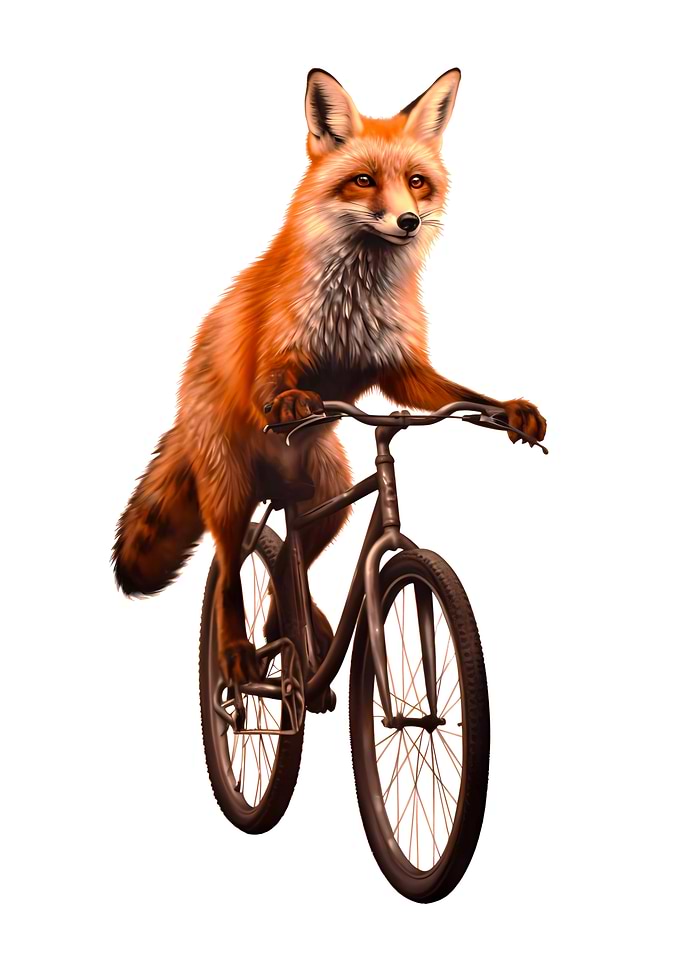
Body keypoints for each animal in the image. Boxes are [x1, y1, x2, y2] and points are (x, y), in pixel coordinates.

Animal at [113, 67, 546, 687]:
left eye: (417, 182)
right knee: (226, 569)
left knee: (286, 579)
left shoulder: (401, 370)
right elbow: (274, 381)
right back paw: (242, 656)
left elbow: (456, 392)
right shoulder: (279, 351)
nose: (408, 221)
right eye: (363, 181)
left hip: (328, 498)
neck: (355, 300)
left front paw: (509, 410)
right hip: (230, 492)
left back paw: (300, 639)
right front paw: (292, 400)